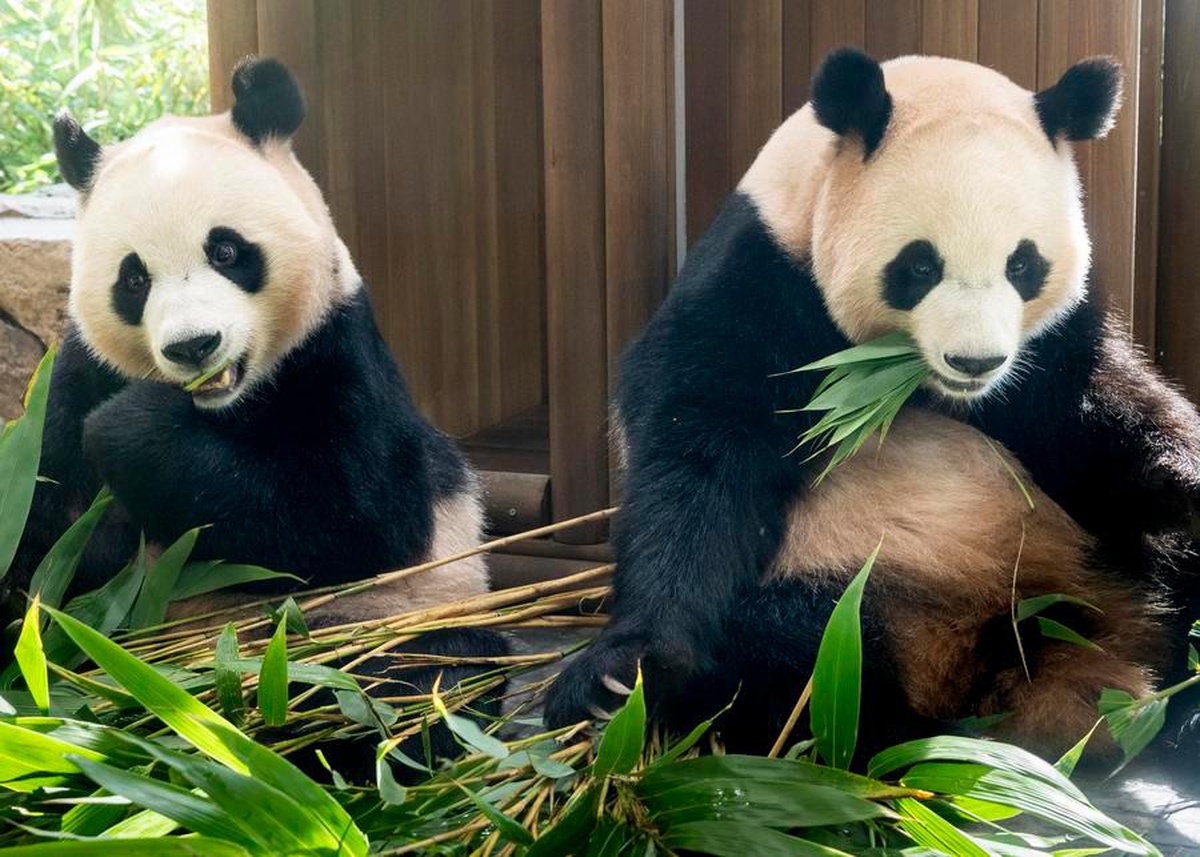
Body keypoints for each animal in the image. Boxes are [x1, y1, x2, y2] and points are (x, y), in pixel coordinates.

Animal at [6, 57, 506, 772]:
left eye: (225, 250)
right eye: (134, 279)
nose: (193, 346)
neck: (223, 406)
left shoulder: (336, 355)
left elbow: (353, 521)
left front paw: (133, 427)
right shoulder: (75, 377)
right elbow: (47, 545)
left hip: (412, 607)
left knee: (418, 678)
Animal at [546, 48, 1200, 764]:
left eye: (1023, 264)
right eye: (919, 266)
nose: (975, 362)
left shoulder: (1052, 354)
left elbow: (1103, 423)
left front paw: (1185, 475)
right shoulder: (759, 286)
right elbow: (698, 462)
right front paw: (620, 675)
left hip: (1098, 564)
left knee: (1167, 572)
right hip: (850, 575)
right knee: (799, 652)